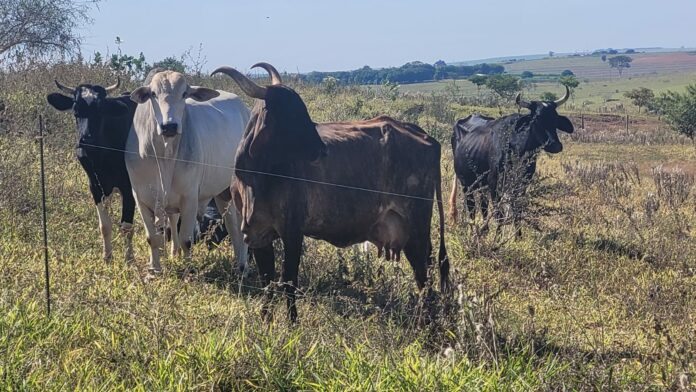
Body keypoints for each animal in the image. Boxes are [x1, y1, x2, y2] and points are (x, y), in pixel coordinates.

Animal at [47, 79, 138, 264]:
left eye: (100, 111)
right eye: (75, 111)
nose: (86, 140)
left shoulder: (128, 187)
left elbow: (126, 227)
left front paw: (129, 259)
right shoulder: (95, 186)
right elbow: (105, 226)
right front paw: (107, 257)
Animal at [213, 63, 452, 322]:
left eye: (302, 109)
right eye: (291, 114)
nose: (321, 149)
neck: (256, 175)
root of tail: (425, 136)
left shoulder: (293, 232)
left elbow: (289, 281)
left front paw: (292, 322)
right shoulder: (257, 233)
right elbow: (267, 280)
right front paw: (266, 319)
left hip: (416, 225)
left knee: (423, 272)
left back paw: (428, 321)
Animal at [448, 87, 572, 225]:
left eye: (555, 118)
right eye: (536, 119)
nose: (555, 145)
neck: (517, 147)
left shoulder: (522, 183)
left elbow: (517, 210)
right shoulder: (494, 183)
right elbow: (499, 214)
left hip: (480, 185)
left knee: (483, 206)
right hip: (466, 183)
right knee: (472, 208)